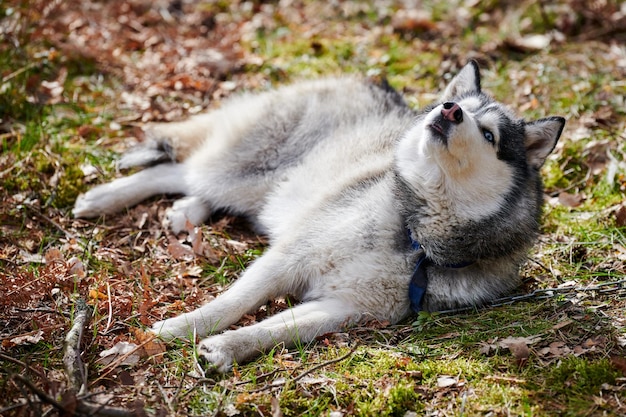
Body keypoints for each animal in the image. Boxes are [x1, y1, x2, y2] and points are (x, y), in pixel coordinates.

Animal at [74, 61, 564, 370]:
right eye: (465, 112)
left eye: (489, 134)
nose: (451, 109)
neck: (414, 237)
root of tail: (368, 82)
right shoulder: (289, 257)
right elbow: (230, 304)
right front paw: (172, 331)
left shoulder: (346, 307)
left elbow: (277, 330)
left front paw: (227, 349)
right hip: (245, 173)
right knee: (177, 169)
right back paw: (102, 198)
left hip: (260, 189)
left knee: (192, 182)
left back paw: (186, 211)